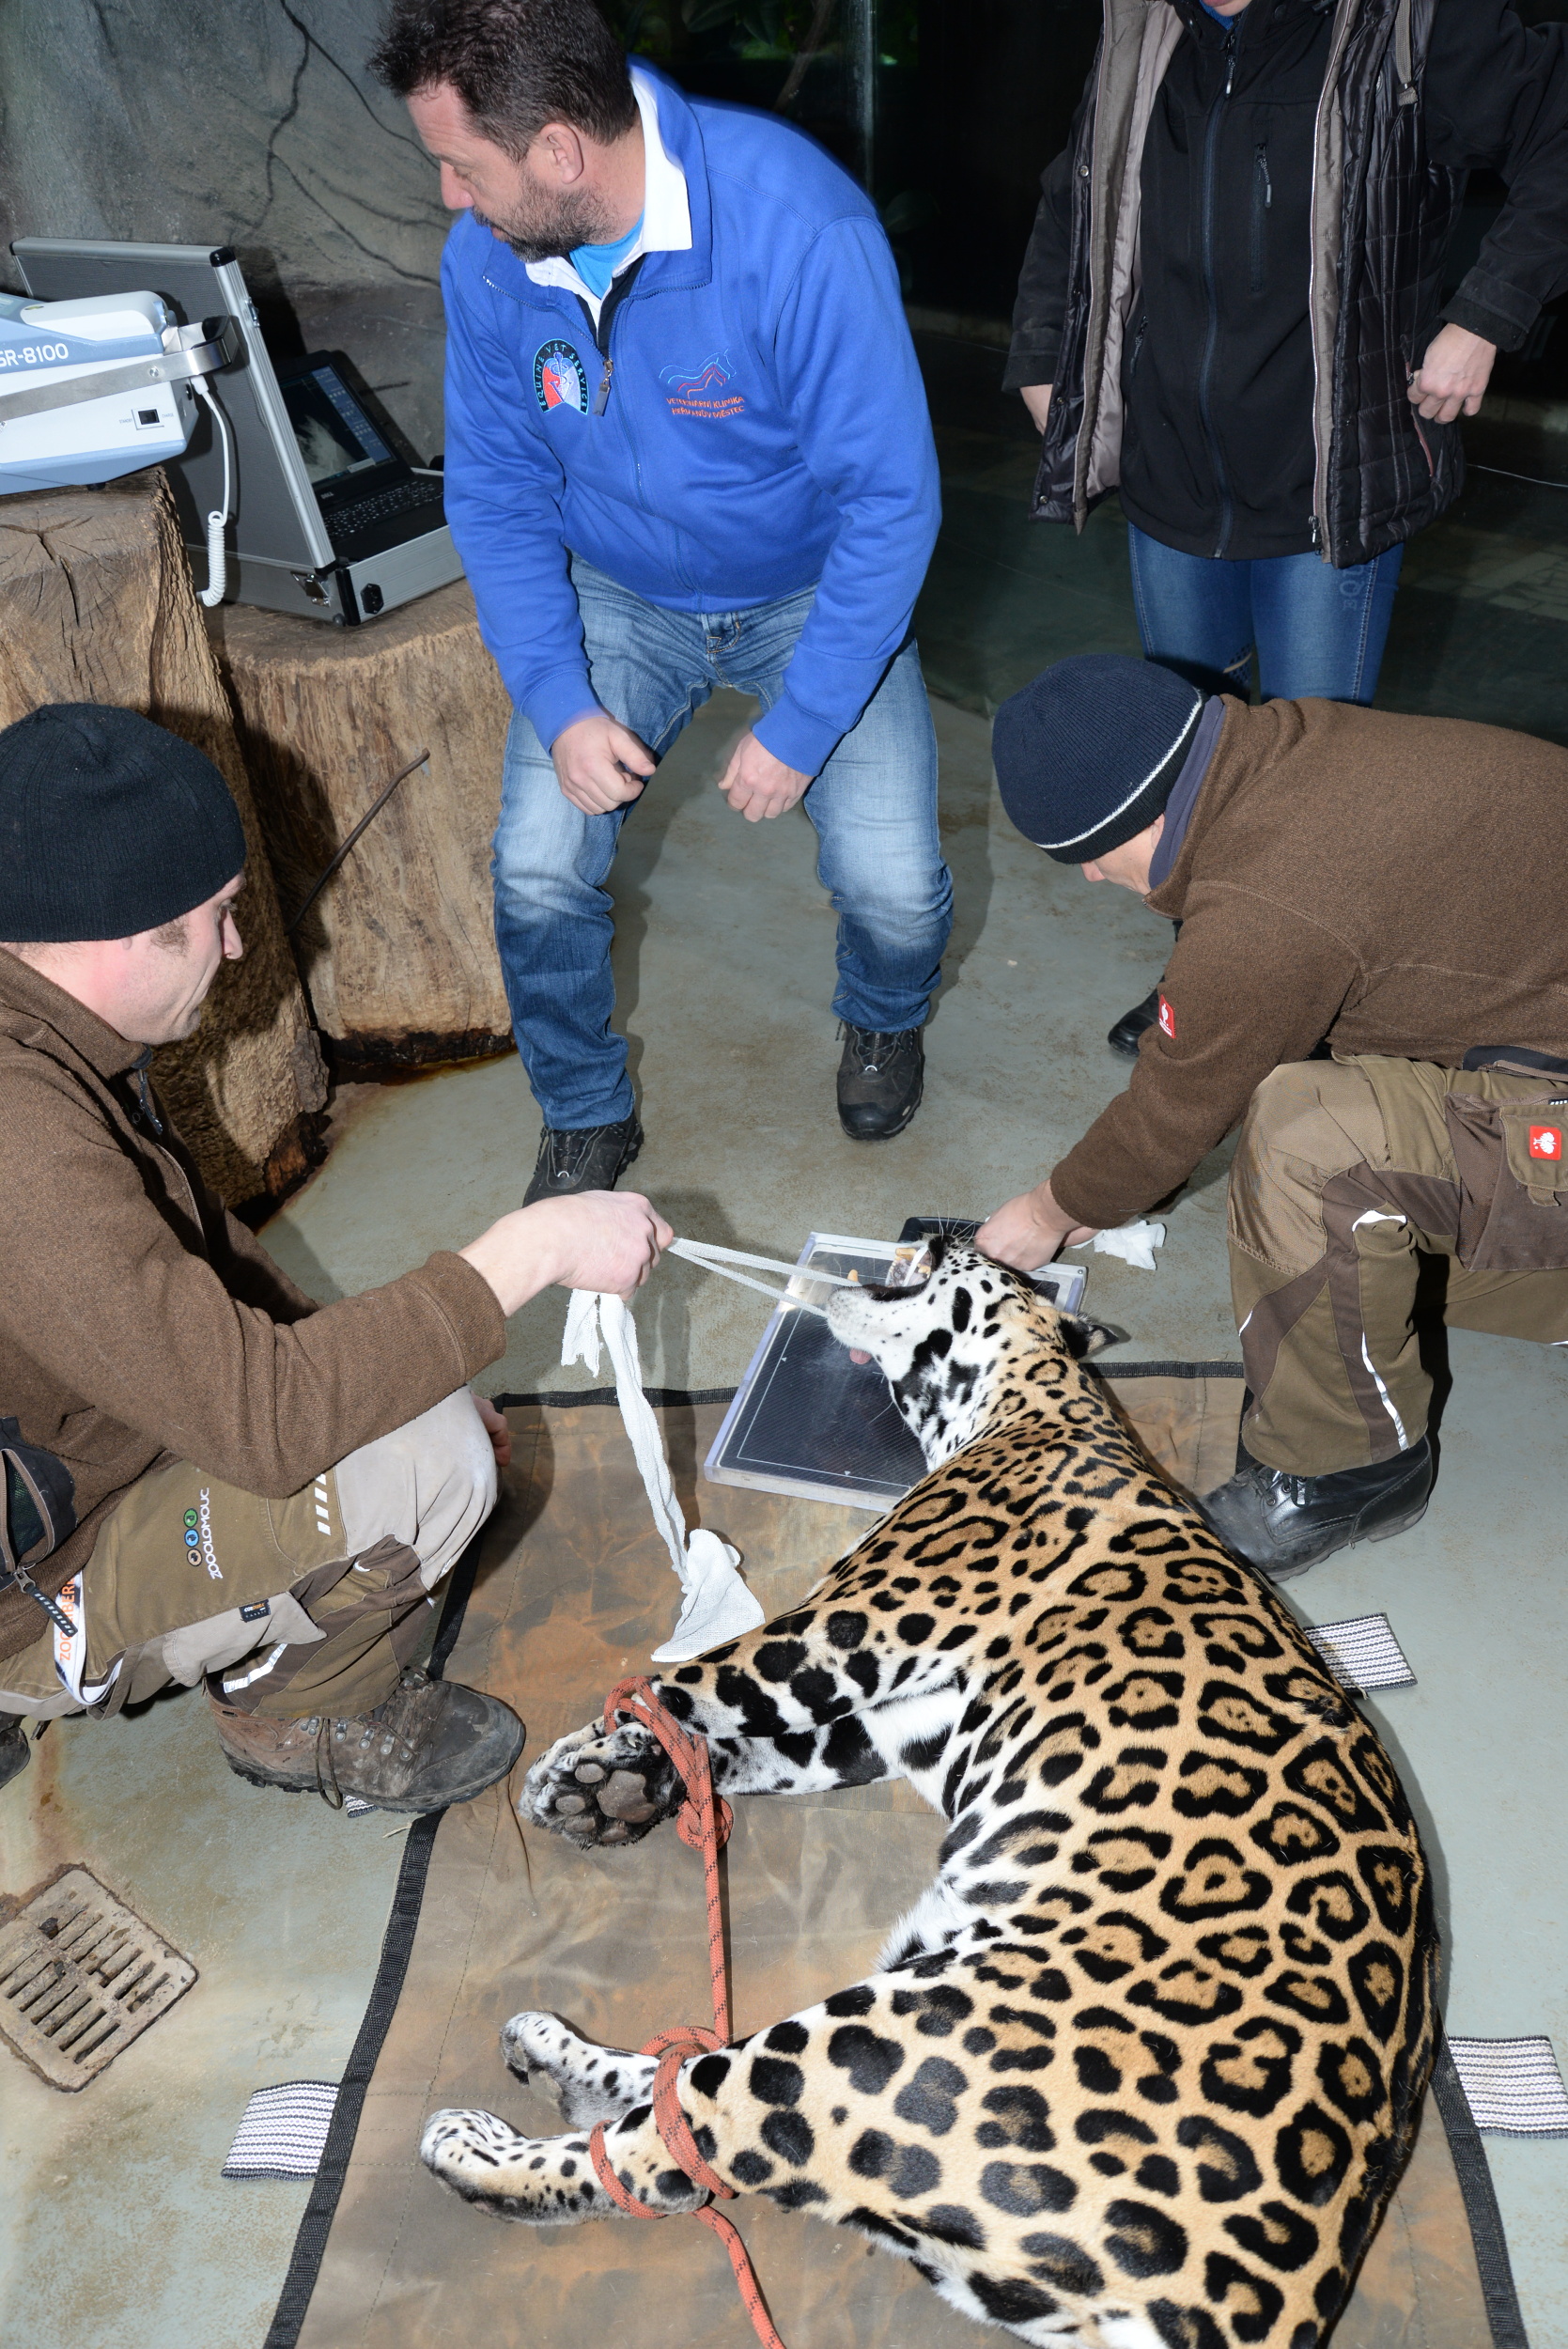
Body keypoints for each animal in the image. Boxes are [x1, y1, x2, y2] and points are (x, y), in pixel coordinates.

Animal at [422, 1238, 1437, 2349]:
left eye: (985, 1255)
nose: (943, 1232)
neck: (1030, 1398)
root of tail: (1260, 2315)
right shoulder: (894, 1716)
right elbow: (744, 1746)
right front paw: (612, 1790)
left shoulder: (843, 1628)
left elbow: (698, 1682)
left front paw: (585, 1755)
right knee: (688, 2108)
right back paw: (550, 2055)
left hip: (881, 2041)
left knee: (674, 2149)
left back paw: (473, 2141)